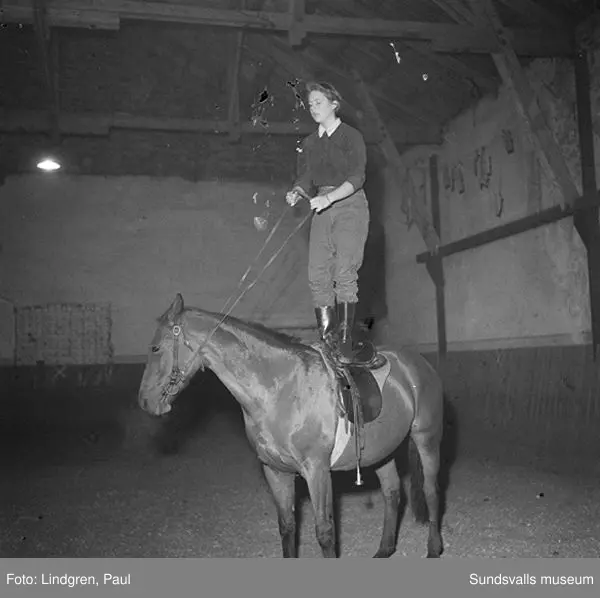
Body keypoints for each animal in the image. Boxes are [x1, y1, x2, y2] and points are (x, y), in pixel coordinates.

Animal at [138, 292, 442, 560]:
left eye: (155, 348)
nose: (145, 402)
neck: (280, 388)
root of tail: (417, 362)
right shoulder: (275, 471)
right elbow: (287, 528)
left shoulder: (317, 471)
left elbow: (325, 533)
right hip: (381, 452)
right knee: (392, 493)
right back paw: (385, 549)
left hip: (427, 440)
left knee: (431, 491)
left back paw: (434, 548)